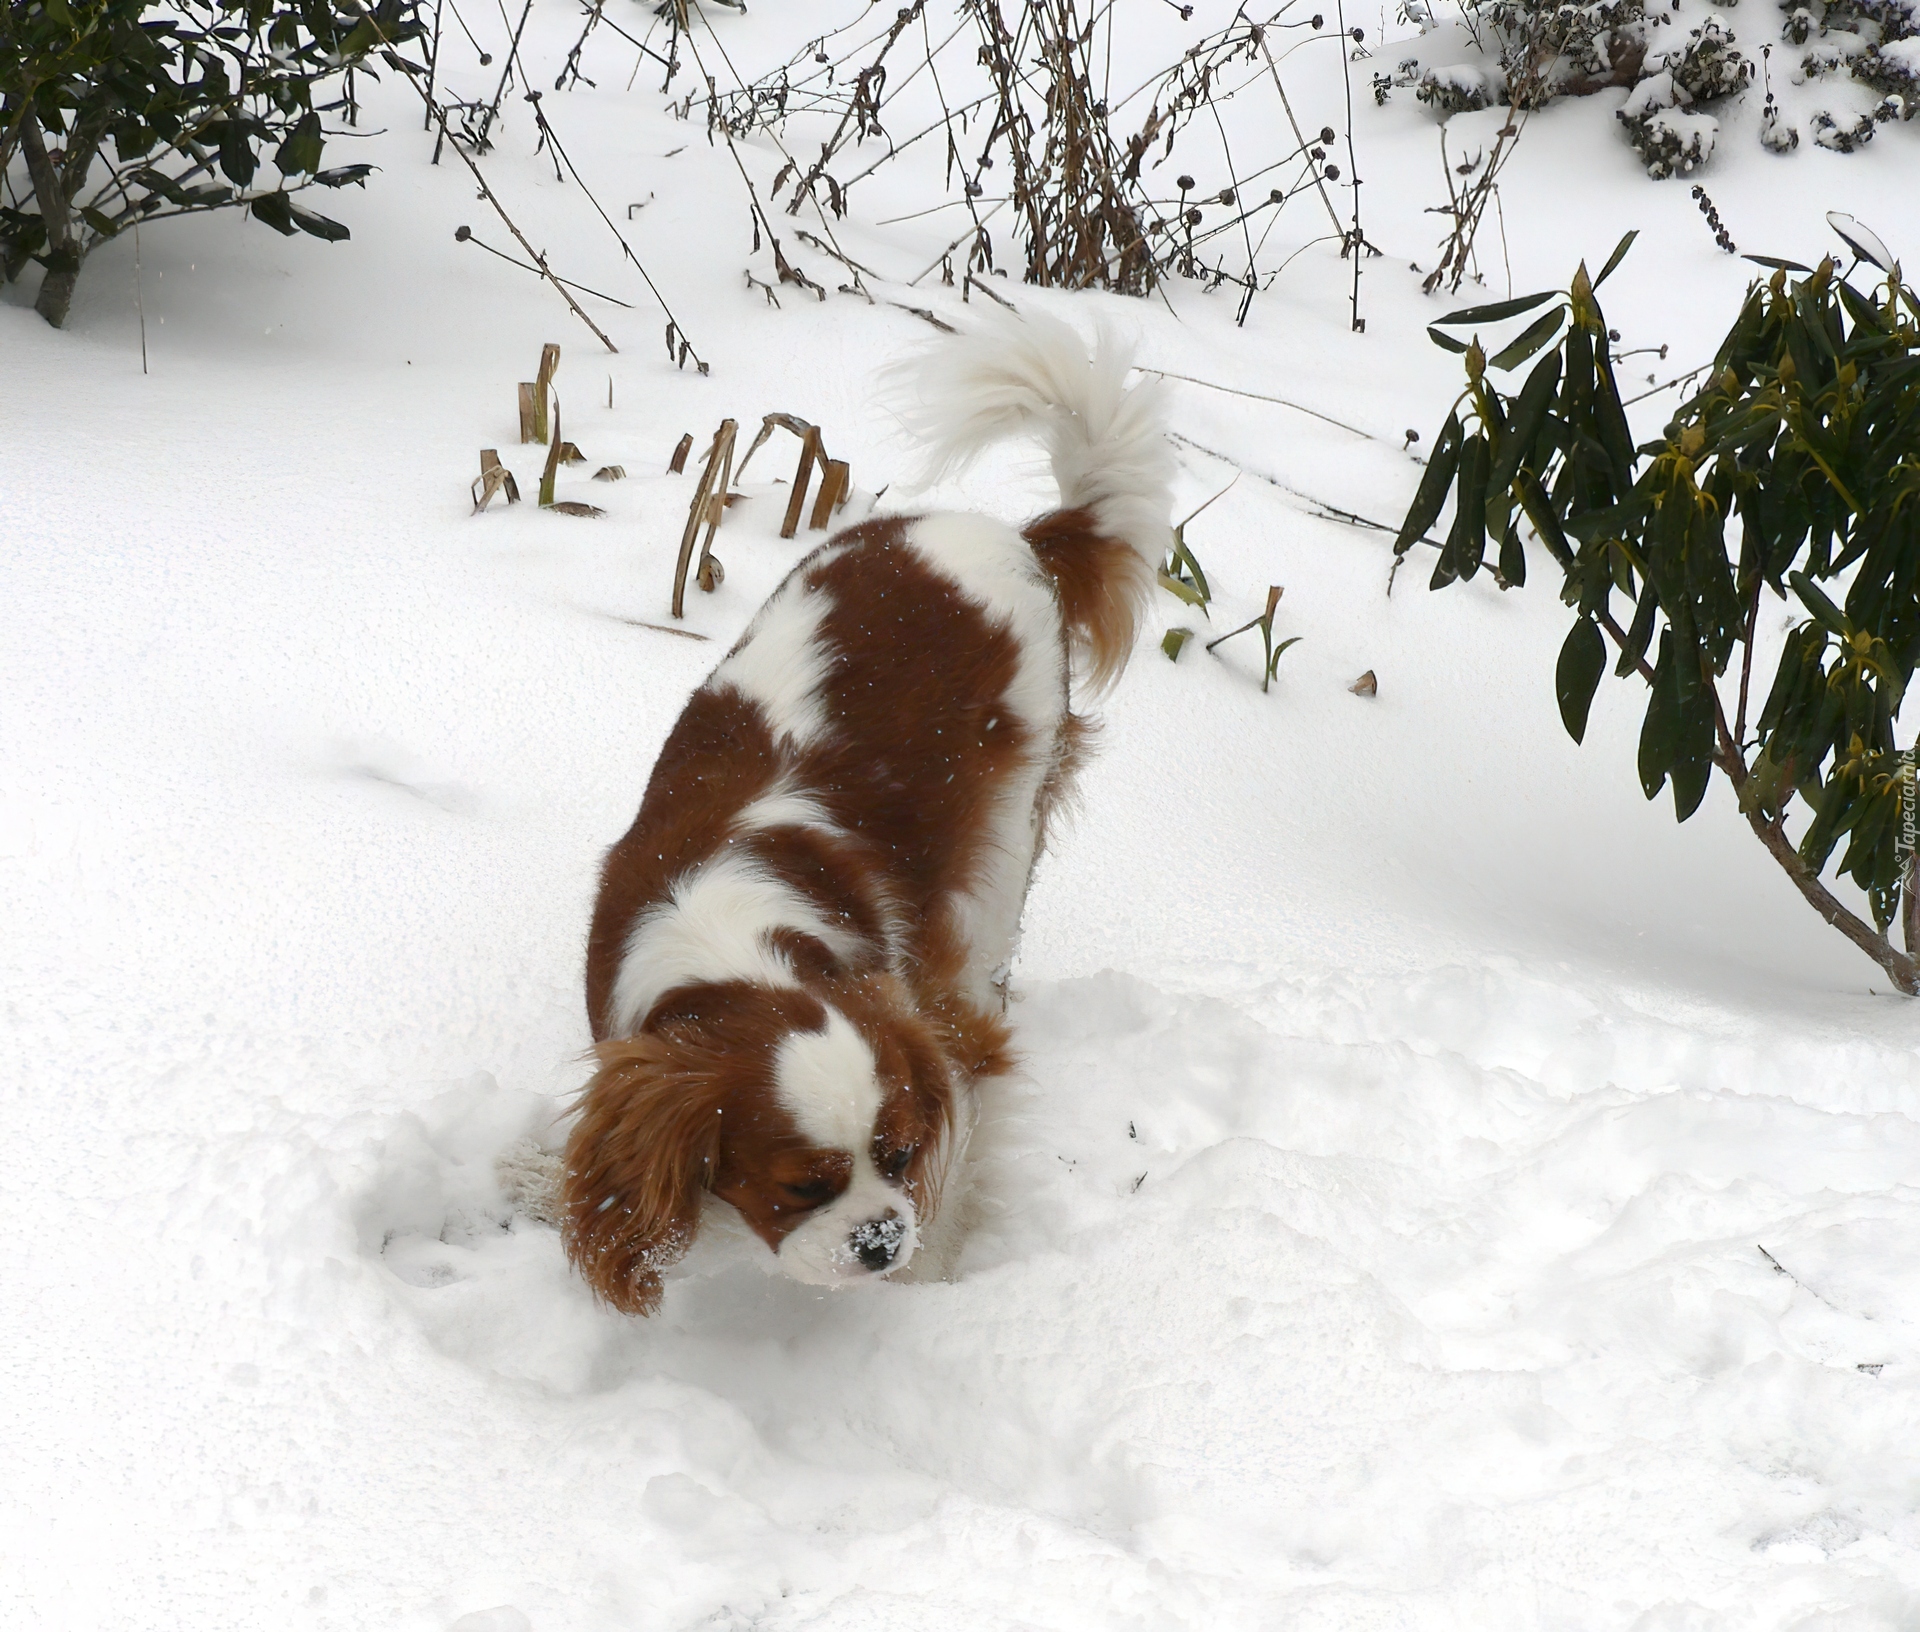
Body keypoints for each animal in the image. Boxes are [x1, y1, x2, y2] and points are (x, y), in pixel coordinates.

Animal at [560, 309, 1175, 1313]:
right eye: (801, 1186)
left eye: (897, 1154)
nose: (882, 1237)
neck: (737, 939)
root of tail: (1020, 535)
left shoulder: (941, 1034)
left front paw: (926, 1283)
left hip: (1001, 854)